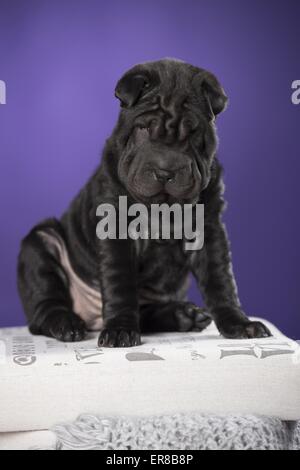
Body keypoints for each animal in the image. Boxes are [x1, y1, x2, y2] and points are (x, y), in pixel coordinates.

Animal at [17, 57, 270, 346]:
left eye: (192, 133)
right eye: (144, 129)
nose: (165, 171)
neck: (162, 208)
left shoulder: (208, 230)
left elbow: (221, 281)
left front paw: (239, 323)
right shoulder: (115, 229)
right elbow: (120, 284)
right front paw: (120, 329)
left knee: (147, 312)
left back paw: (184, 316)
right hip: (41, 243)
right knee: (44, 306)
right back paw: (66, 323)